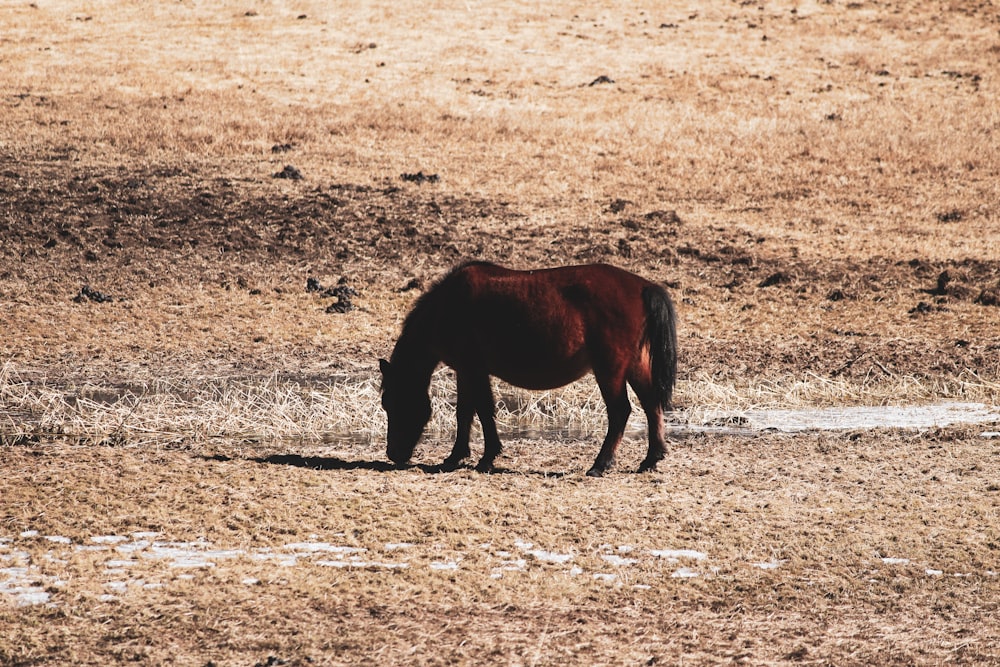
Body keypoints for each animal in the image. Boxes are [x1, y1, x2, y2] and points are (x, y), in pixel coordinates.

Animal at [378, 260, 676, 474]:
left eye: (393, 402)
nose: (394, 454)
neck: (448, 305)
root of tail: (642, 286)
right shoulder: (467, 371)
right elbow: (467, 412)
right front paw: (458, 457)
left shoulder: (472, 368)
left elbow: (480, 410)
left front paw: (484, 457)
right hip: (635, 366)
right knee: (652, 406)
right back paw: (651, 459)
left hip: (610, 369)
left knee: (620, 412)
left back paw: (600, 465)